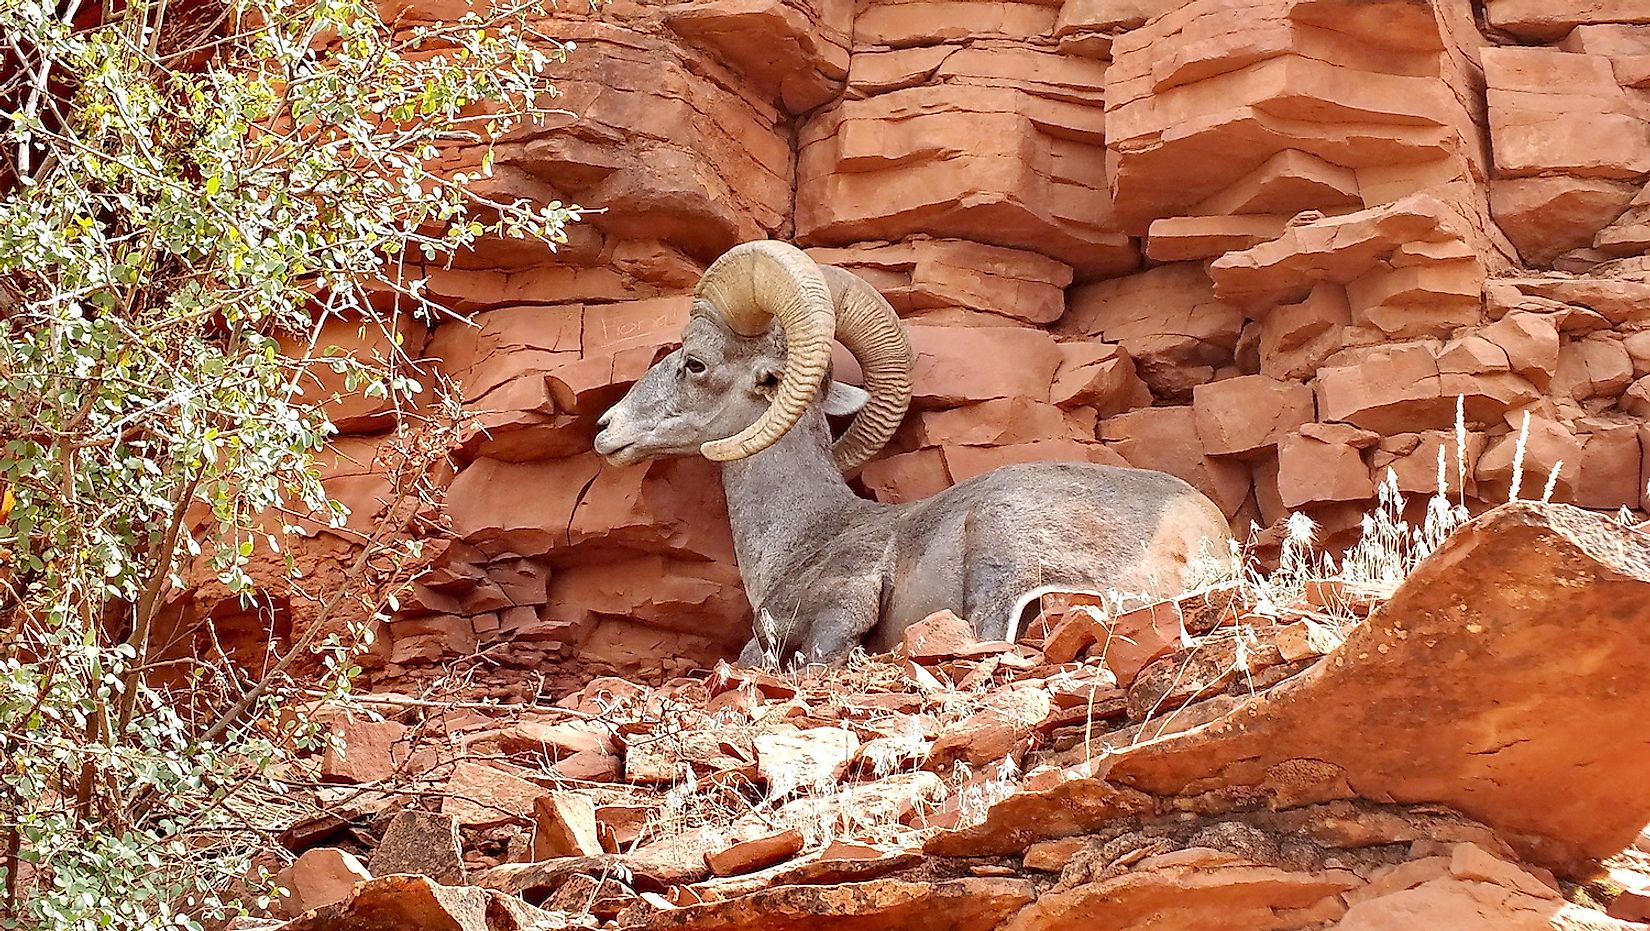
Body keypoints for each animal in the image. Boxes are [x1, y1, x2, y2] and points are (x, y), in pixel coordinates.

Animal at [597, 239, 1240, 660]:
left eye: (694, 363)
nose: (606, 428)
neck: (804, 537)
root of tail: (1201, 539)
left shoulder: (841, 606)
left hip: (1000, 544)